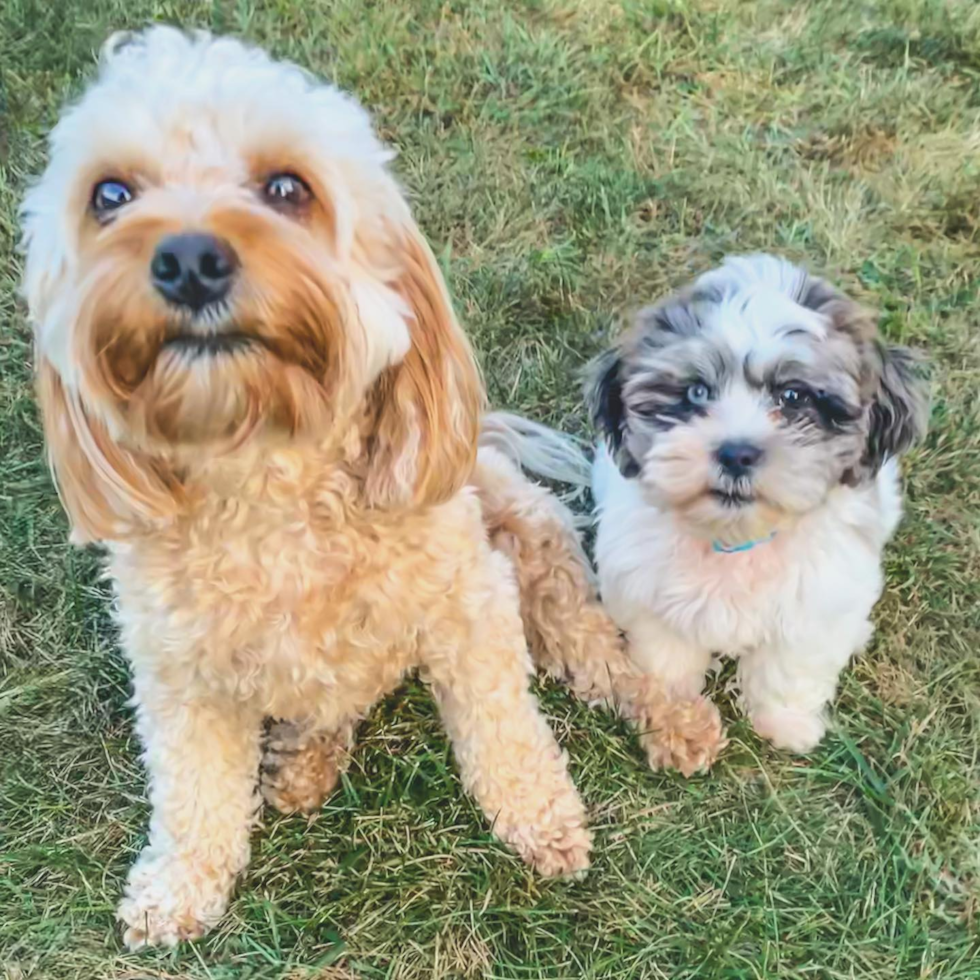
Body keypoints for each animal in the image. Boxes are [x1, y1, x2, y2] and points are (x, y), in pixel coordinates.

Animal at [23, 28, 724, 948]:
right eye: (110, 195)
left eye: (288, 188)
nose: (187, 260)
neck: (267, 479)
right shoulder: (179, 677)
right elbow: (192, 792)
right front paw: (176, 888)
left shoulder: (472, 612)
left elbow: (505, 732)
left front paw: (542, 820)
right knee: (328, 706)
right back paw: (303, 764)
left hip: (538, 561)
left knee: (605, 656)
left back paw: (674, 714)